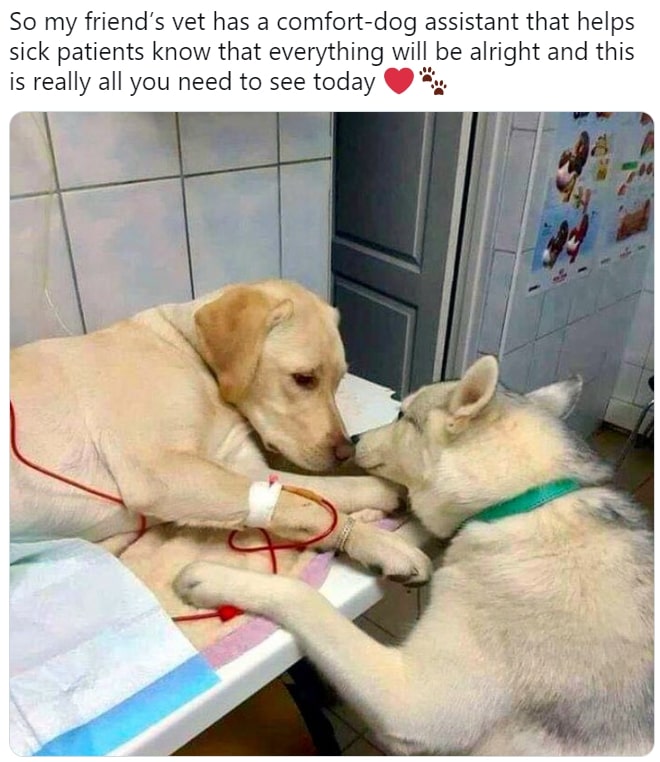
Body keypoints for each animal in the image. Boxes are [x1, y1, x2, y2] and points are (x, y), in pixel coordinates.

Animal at [12, 280, 430, 580]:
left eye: (340, 379)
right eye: (303, 378)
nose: (345, 451)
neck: (194, 359)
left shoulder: (246, 469)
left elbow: (328, 492)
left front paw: (387, 489)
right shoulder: (162, 473)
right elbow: (307, 506)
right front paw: (380, 544)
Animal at [177, 356, 656, 756]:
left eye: (403, 415)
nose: (354, 438)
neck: (523, 501)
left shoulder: (415, 705)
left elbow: (301, 597)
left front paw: (209, 578)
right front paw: (374, 527)